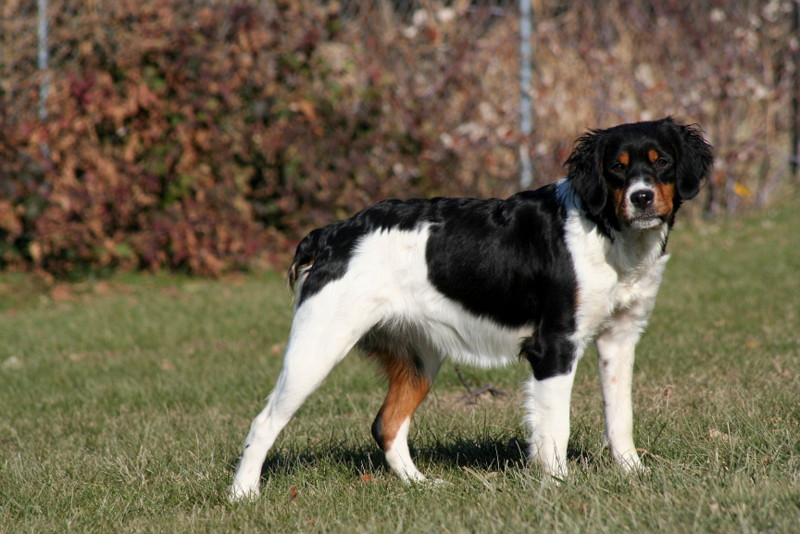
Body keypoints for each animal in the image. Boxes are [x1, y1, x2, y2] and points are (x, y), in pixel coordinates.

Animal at [230, 117, 712, 502]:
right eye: (617, 167)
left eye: (662, 162)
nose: (642, 197)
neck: (605, 229)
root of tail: (332, 234)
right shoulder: (554, 347)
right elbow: (555, 428)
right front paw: (557, 484)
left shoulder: (620, 339)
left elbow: (620, 417)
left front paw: (632, 473)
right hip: (317, 348)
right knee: (263, 423)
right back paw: (243, 495)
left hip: (419, 358)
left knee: (387, 425)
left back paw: (420, 484)